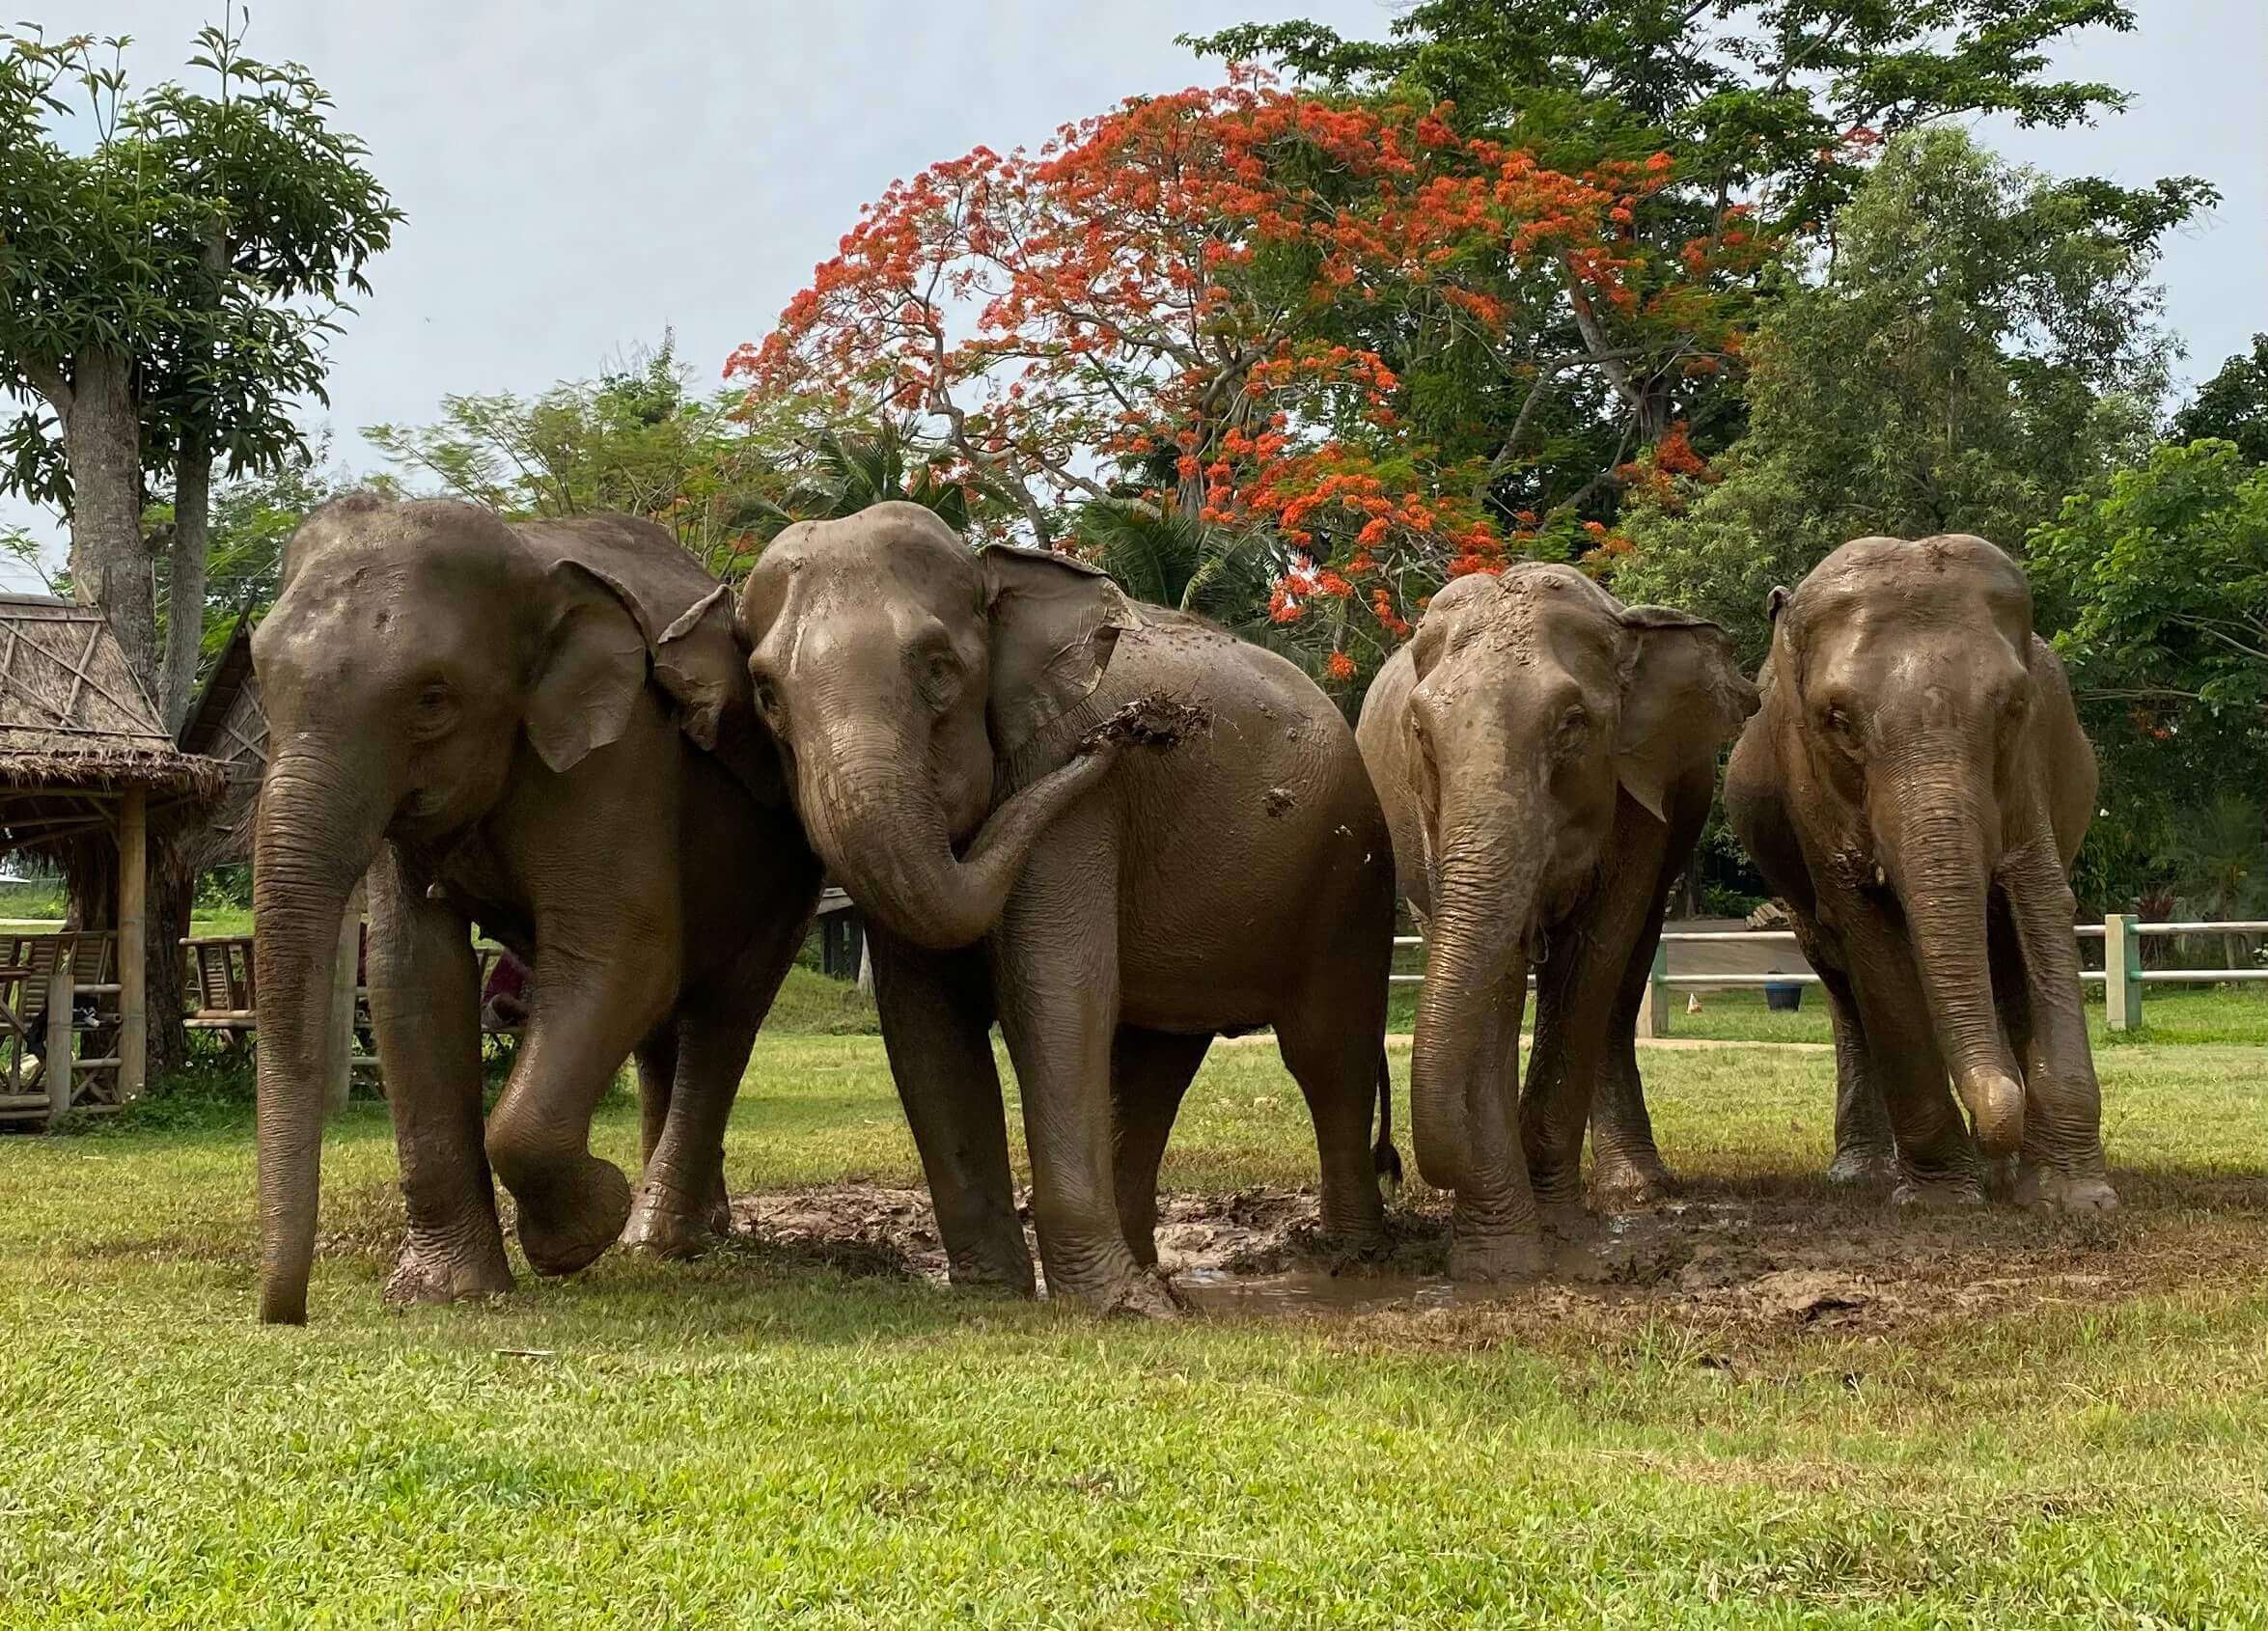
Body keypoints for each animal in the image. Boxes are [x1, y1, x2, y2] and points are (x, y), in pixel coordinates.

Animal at [250, 495, 821, 1324]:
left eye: (433, 700)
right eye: (260, 677)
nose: (286, 1316)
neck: (527, 563)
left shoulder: (620, 755)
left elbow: (620, 951)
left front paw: (578, 1235)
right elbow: (410, 972)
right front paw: (446, 1292)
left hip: (788, 867)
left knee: (723, 1016)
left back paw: (659, 1238)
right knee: (667, 1031)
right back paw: (685, 1227)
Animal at [735, 502, 1395, 1314]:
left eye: (938, 669)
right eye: (766, 694)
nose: (1128, 736)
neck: (992, 570)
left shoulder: (1069, 789)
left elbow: (1052, 989)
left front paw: (1114, 1308)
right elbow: (924, 1015)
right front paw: (998, 1292)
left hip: (1349, 877)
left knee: (1326, 1049)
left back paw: (1348, 1264)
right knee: (1154, 1064)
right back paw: (1157, 1276)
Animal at [1356, 564, 1757, 1278]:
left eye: (1572, 724)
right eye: (1421, 733)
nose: (1394, 1167)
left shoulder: (1635, 800)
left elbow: (1591, 959)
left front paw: (1558, 1232)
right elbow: (1497, 977)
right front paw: (1498, 1259)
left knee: (1625, 974)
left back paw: (1638, 1190)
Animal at [1723, 532, 2115, 1209]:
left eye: (2014, 707)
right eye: (1837, 720)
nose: (2001, 1129)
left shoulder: (2028, 770)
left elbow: (2040, 903)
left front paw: (2077, 1201)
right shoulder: (1809, 781)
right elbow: (1867, 933)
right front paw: (1942, 1200)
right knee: (1839, 975)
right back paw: (1868, 1175)